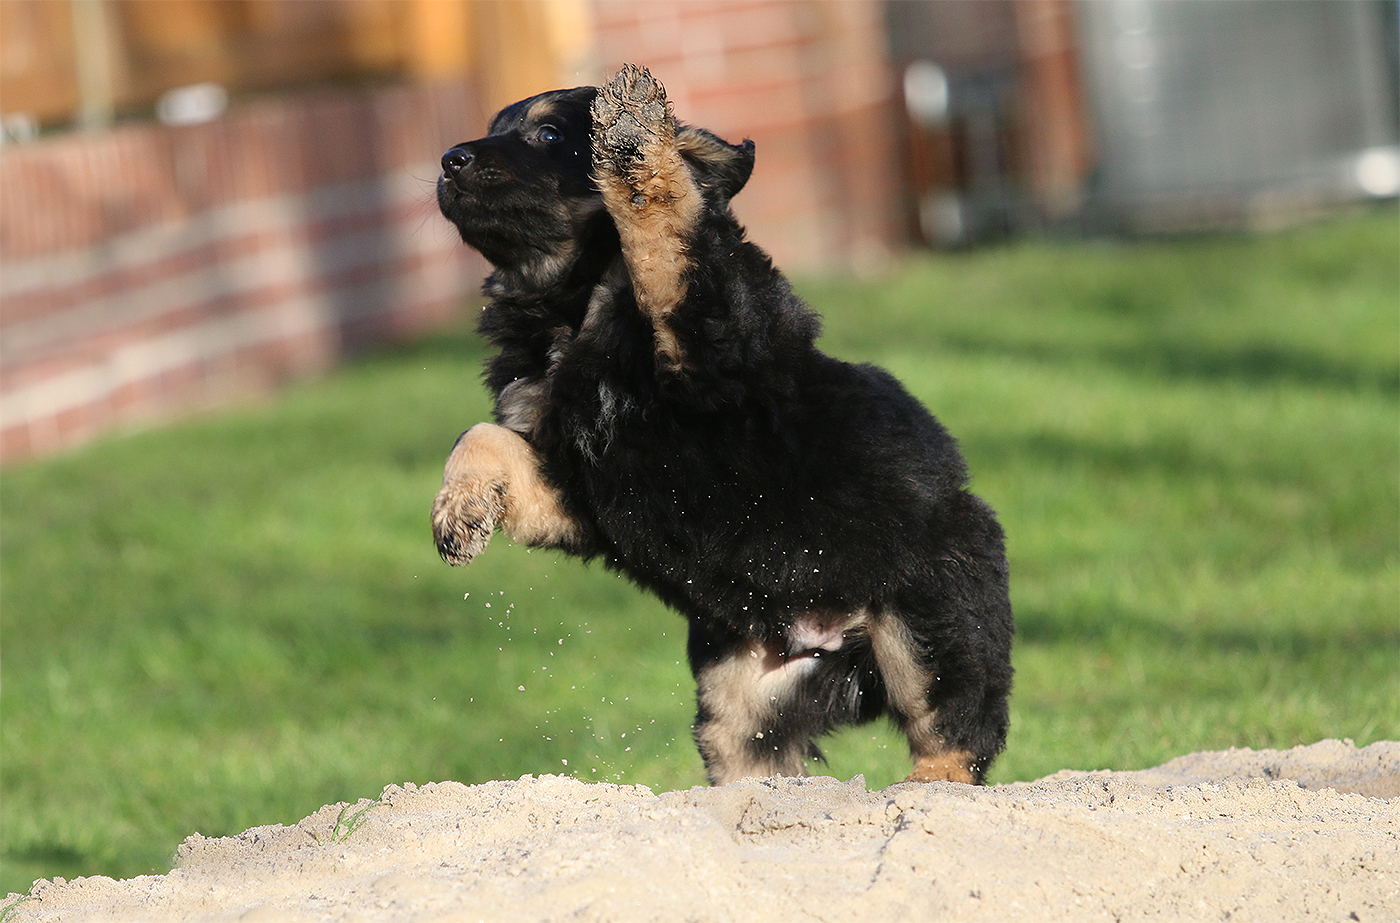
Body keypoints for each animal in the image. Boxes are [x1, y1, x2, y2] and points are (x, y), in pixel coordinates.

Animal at [431, 65, 1013, 786]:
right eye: (494, 129)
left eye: (547, 135)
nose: (450, 160)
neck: (570, 307)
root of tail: (841, 645)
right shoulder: (581, 487)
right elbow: (481, 436)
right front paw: (459, 513)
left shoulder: (707, 344)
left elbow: (660, 228)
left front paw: (633, 132)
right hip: (744, 694)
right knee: (756, 762)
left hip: (930, 617)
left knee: (955, 734)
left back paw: (920, 794)